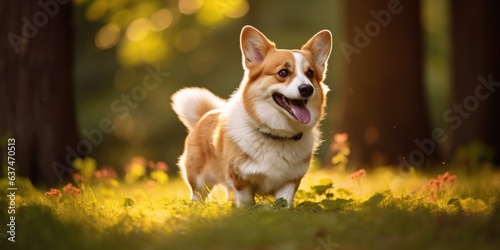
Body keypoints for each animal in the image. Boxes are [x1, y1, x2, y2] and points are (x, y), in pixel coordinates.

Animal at [172, 25, 332, 207]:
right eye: (283, 72)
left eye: (310, 73)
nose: (307, 89)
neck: (277, 134)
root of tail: (207, 114)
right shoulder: (240, 179)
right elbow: (246, 203)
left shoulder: (289, 182)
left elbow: (283, 203)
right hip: (199, 181)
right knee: (197, 196)